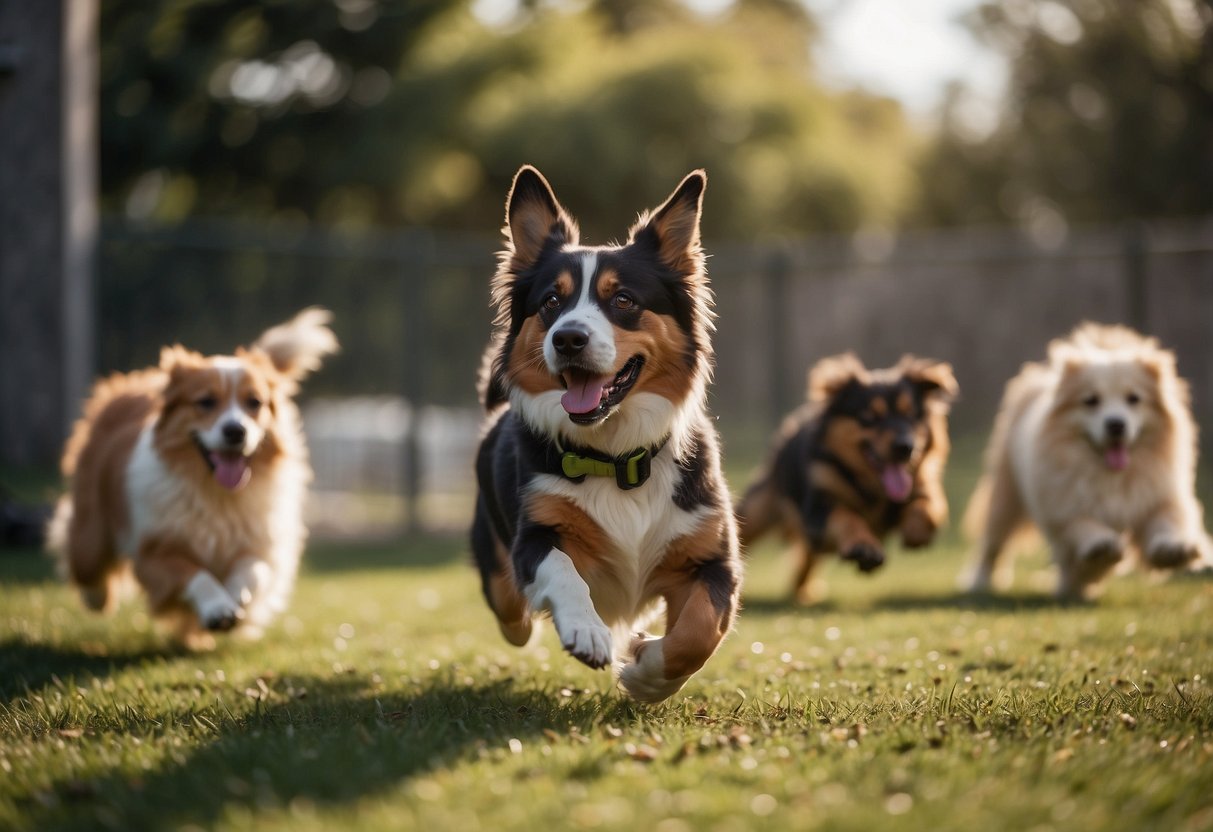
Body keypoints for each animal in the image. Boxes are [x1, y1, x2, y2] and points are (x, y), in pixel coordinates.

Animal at [49, 309, 337, 640]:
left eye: (254, 402)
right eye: (206, 401)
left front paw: (236, 598)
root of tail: (128, 389)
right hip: (92, 530)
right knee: (84, 560)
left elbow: (253, 571)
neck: (217, 494)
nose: (235, 431)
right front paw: (218, 608)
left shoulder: (262, 544)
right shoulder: (154, 552)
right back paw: (96, 597)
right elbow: (196, 574)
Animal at [470, 162, 737, 703]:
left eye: (623, 299)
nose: (568, 338)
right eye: (551, 301)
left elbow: (701, 631)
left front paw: (645, 669)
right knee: (512, 612)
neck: (615, 457)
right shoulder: (535, 536)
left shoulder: (714, 558)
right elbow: (563, 572)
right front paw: (587, 632)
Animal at [737, 351, 955, 599]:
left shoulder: (922, 484)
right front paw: (864, 547)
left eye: (910, 415)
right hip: (759, 508)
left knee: (807, 554)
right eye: (870, 417)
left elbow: (927, 506)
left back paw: (804, 589)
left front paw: (917, 532)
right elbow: (846, 516)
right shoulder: (819, 507)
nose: (905, 447)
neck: (872, 486)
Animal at [960, 322, 1208, 603]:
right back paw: (984, 581)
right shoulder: (1062, 507)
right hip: (1005, 497)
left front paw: (1173, 550)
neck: (1111, 476)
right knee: (993, 544)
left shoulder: (1162, 497)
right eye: (1091, 400)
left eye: (1134, 398)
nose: (1116, 424)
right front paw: (1100, 548)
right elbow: (1082, 525)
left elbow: (1168, 523)